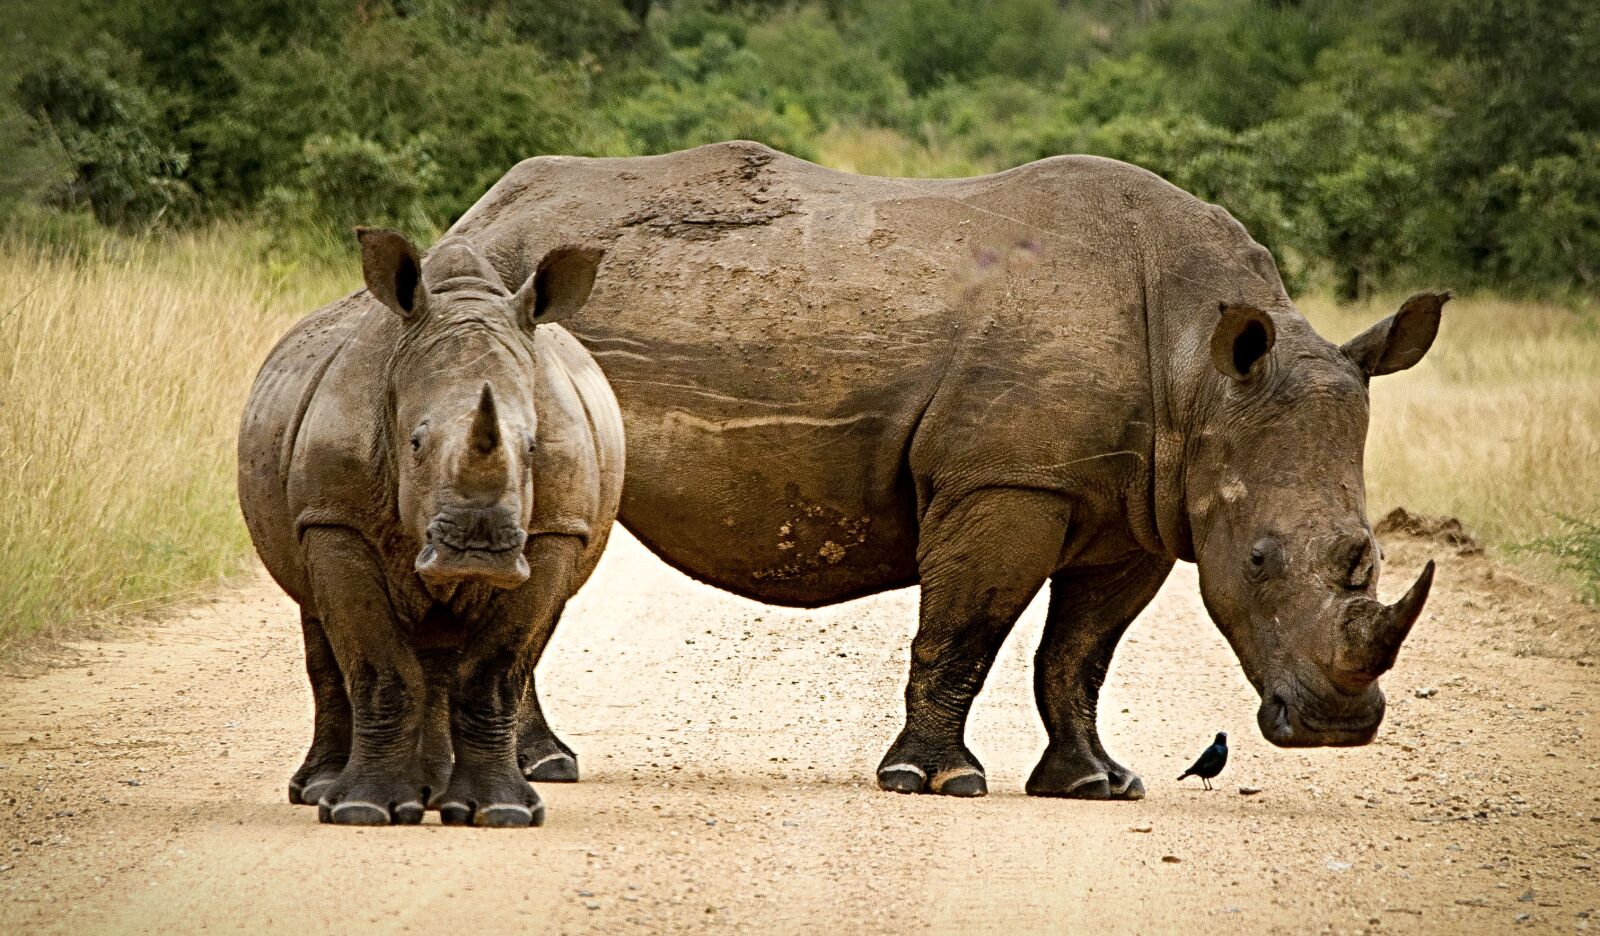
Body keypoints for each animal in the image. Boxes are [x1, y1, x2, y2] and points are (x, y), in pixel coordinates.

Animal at [237, 229, 623, 825]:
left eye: (533, 448)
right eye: (415, 443)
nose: (477, 547)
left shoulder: (557, 531)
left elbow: (494, 673)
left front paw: (500, 812)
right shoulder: (335, 520)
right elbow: (378, 667)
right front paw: (361, 809)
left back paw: (443, 792)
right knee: (320, 624)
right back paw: (323, 789)